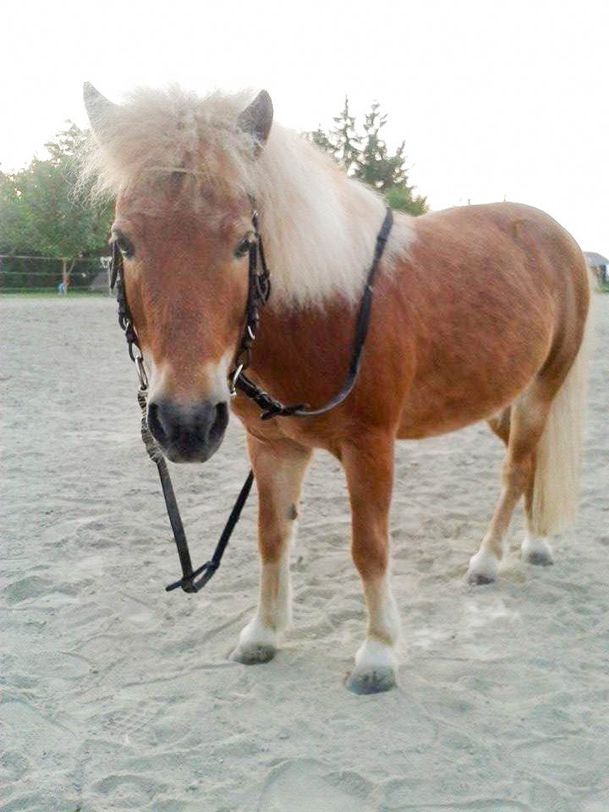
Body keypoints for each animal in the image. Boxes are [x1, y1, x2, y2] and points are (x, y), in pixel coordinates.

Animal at [82, 83, 591, 694]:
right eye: (124, 242)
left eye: (243, 242)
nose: (186, 424)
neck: (327, 307)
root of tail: (558, 238)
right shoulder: (273, 447)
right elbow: (271, 537)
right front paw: (263, 634)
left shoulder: (370, 445)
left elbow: (369, 548)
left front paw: (378, 654)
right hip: (501, 399)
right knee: (530, 462)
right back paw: (531, 544)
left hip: (543, 385)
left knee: (516, 469)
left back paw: (494, 559)